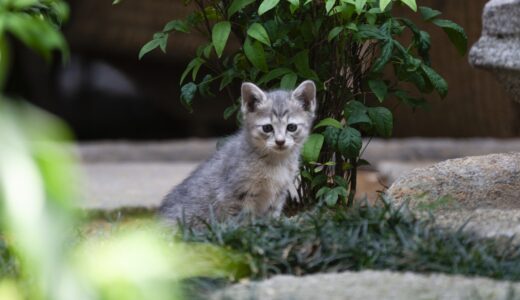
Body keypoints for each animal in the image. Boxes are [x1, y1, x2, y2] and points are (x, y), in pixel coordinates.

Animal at [158, 79, 314, 225]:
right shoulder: (235, 195)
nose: (280, 142)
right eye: (267, 128)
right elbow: (240, 222)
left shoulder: (277, 196)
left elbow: (271, 218)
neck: (276, 162)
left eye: (292, 127)